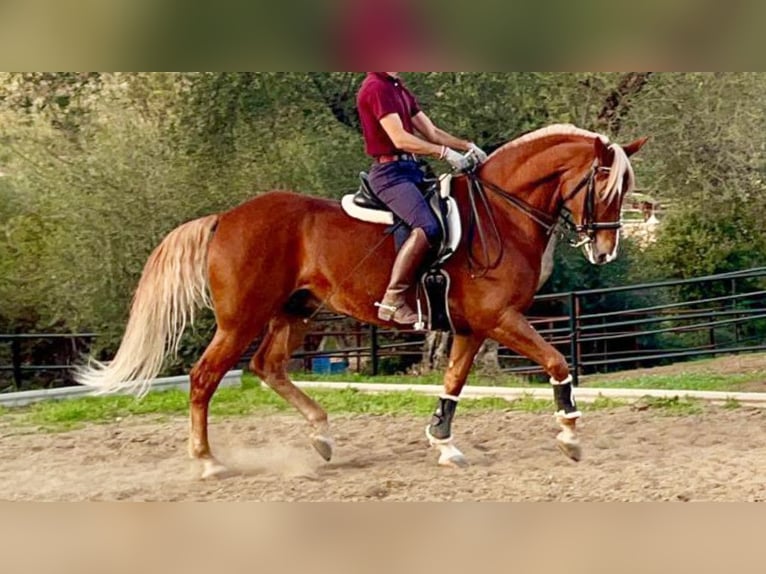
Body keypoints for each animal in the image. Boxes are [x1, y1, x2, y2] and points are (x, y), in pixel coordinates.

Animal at [76, 124, 648, 480]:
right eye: (605, 186)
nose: (604, 249)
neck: (503, 214)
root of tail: (226, 218)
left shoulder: (472, 327)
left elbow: (453, 383)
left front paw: (444, 443)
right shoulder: (499, 318)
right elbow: (557, 361)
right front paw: (570, 435)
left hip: (295, 310)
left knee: (267, 367)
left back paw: (322, 435)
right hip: (242, 319)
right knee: (204, 378)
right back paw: (209, 462)